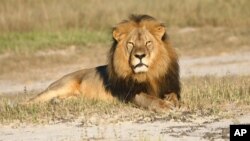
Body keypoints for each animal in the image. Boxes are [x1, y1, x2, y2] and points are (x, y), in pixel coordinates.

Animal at [26, 14, 181, 112]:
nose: (140, 56)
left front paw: (172, 101)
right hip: (60, 86)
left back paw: (57, 102)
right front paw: (165, 106)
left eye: (148, 43)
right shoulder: (130, 94)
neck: (148, 74)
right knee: (30, 101)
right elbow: (149, 99)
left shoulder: (168, 85)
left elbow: (174, 95)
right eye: (130, 44)